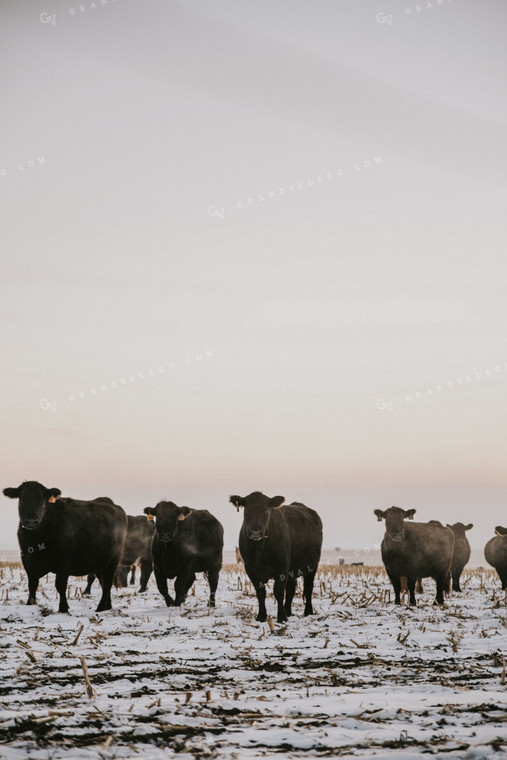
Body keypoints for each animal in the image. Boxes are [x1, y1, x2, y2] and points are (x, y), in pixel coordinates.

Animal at [3, 484, 126, 616]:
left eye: (41, 501)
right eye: (21, 500)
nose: (31, 521)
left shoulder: (63, 562)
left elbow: (60, 585)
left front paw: (63, 608)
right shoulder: (27, 561)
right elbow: (32, 585)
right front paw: (30, 604)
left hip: (112, 561)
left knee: (107, 583)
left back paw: (101, 607)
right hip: (99, 564)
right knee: (104, 584)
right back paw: (108, 606)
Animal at [229, 492, 322, 624]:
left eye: (265, 510)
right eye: (247, 510)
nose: (255, 533)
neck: (260, 548)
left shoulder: (282, 566)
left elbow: (278, 591)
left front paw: (281, 617)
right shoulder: (250, 568)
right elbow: (260, 592)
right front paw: (261, 616)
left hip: (312, 566)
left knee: (308, 588)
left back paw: (308, 611)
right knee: (291, 589)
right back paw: (288, 611)